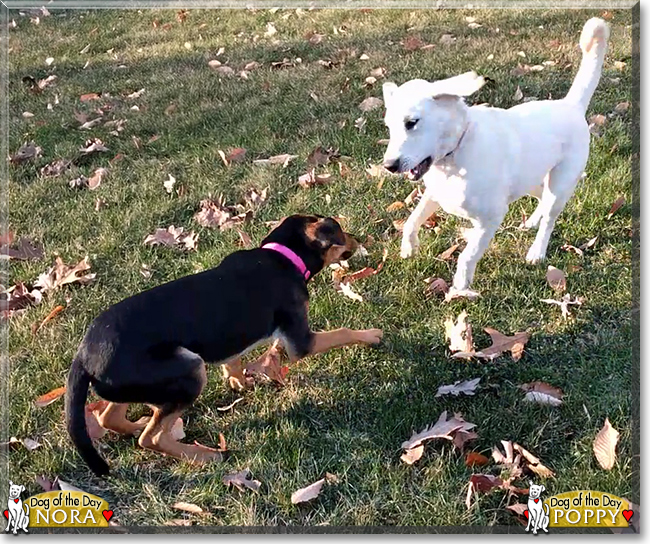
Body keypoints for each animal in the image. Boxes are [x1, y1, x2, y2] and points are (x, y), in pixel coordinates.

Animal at [66, 215, 380, 474]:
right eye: (340, 231)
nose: (357, 238)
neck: (284, 255)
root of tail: (83, 357)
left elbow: (235, 359)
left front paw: (239, 381)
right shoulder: (301, 341)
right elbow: (342, 332)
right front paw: (372, 335)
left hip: (134, 385)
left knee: (110, 417)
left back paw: (139, 424)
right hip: (190, 370)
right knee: (151, 437)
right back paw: (204, 455)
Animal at [382, 18, 604, 298]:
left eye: (412, 123)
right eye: (388, 126)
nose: (388, 166)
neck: (456, 154)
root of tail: (571, 105)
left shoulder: (489, 219)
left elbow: (467, 255)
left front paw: (460, 286)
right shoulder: (434, 194)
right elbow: (412, 220)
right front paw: (409, 247)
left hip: (561, 183)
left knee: (550, 218)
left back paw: (536, 251)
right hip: (529, 178)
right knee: (541, 197)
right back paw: (532, 221)